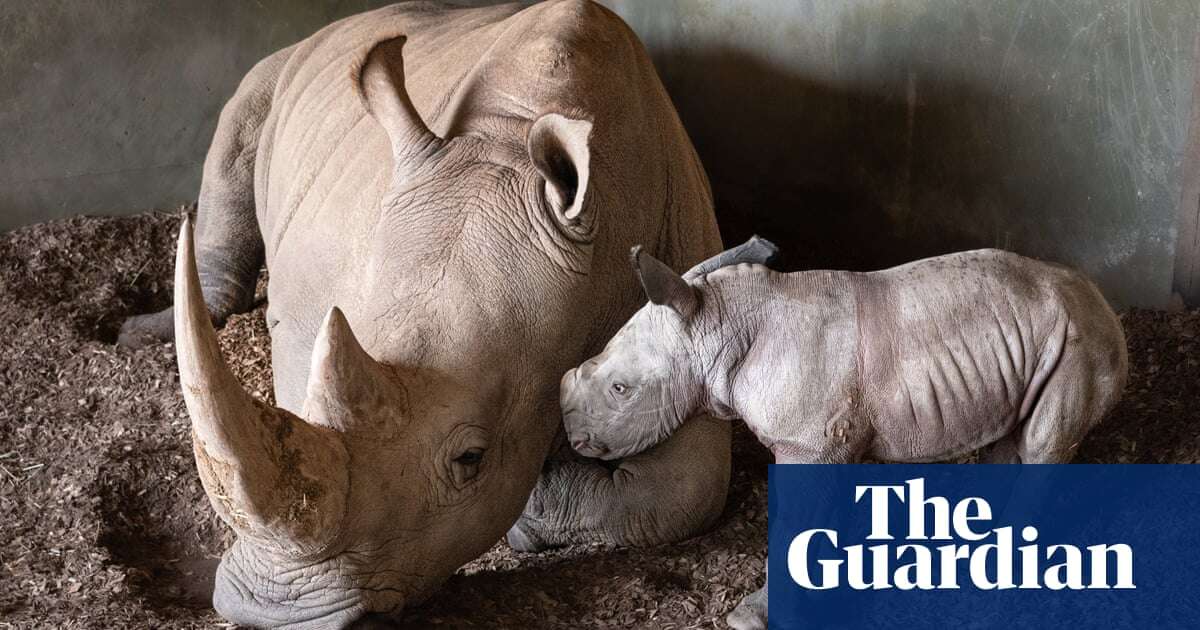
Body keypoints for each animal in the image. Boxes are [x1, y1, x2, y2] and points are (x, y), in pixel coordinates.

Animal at [559, 237, 1123, 628]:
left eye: (620, 389)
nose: (572, 436)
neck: (718, 323)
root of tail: (1102, 301)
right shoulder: (822, 440)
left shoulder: (810, 442)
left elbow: (792, 527)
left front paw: (752, 617)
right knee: (1008, 437)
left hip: (1079, 339)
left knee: (1044, 445)